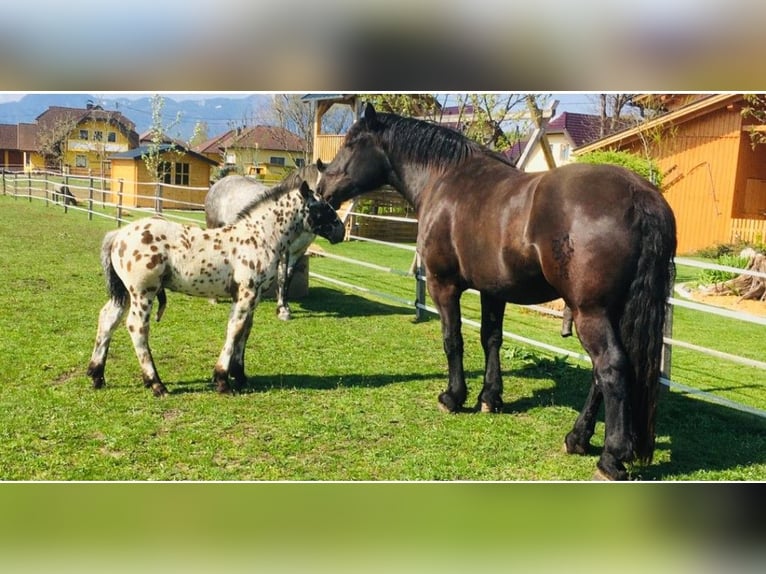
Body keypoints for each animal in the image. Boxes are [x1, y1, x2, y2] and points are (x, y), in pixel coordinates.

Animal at [86, 180, 344, 396]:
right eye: (322, 207)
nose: (340, 231)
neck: (258, 237)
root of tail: (118, 234)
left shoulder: (254, 296)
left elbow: (246, 330)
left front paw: (240, 376)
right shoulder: (246, 294)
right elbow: (235, 329)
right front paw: (222, 380)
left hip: (125, 293)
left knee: (107, 318)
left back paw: (97, 375)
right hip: (143, 292)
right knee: (137, 327)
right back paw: (156, 384)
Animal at [204, 164, 328, 322]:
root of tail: (219, 182)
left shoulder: (298, 251)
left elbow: (288, 277)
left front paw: (285, 307)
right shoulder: (284, 251)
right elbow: (282, 277)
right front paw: (282, 310)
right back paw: (213, 298)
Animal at [318, 103, 680, 482]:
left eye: (351, 143)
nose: (321, 188)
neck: (444, 179)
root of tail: (639, 195)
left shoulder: (442, 284)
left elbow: (453, 339)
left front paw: (453, 397)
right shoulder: (493, 290)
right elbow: (491, 338)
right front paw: (490, 397)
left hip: (590, 312)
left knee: (610, 368)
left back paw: (611, 457)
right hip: (613, 312)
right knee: (602, 373)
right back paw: (577, 438)